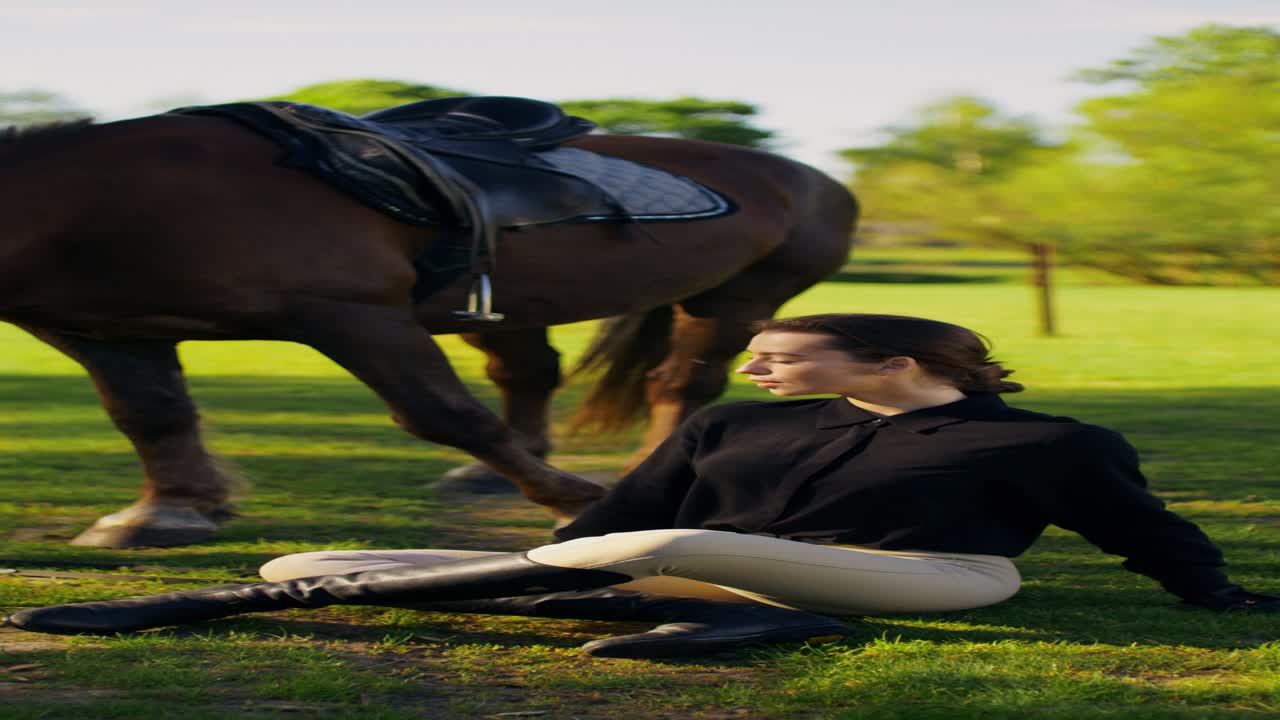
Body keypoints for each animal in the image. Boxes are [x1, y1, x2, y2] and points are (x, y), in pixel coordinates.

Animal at [0, 108, 858, 548]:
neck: (108, 195)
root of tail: (812, 179)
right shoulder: (110, 332)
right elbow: (151, 416)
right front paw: (168, 510)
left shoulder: (354, 315)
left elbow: (443, 415)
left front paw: (576, 503)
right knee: (531, 374)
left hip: (736, 299)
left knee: (680, 384)